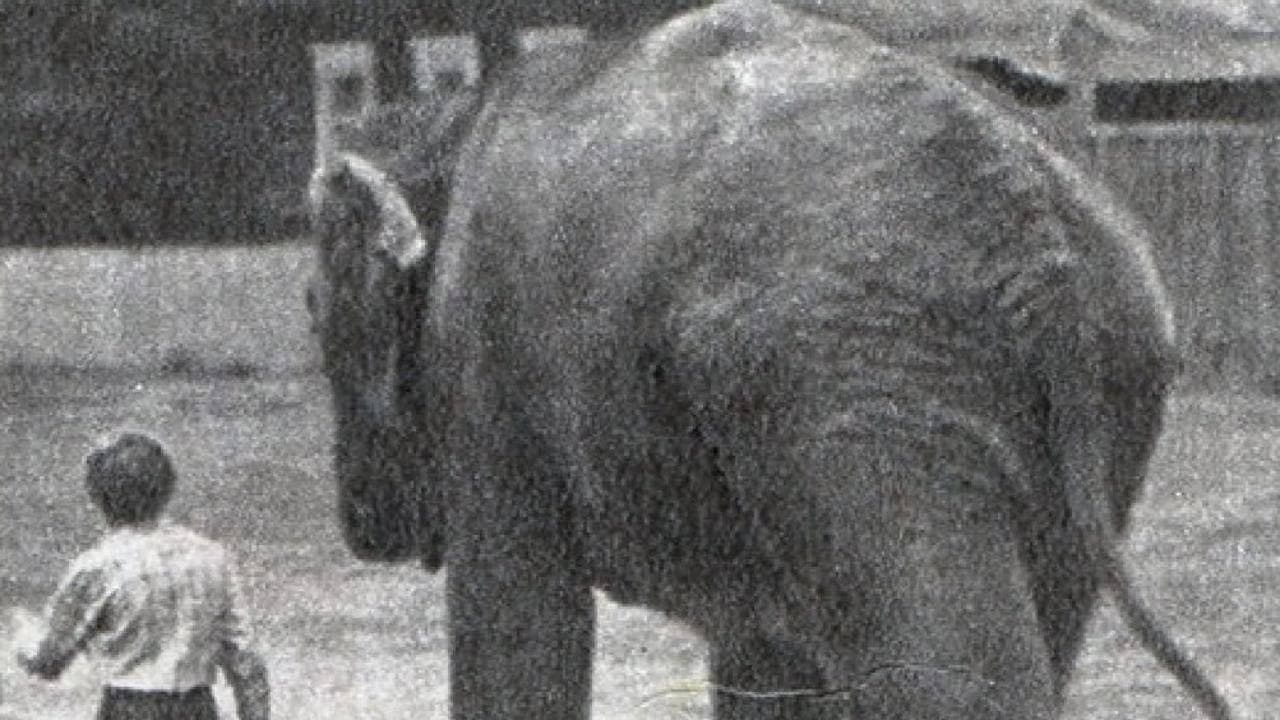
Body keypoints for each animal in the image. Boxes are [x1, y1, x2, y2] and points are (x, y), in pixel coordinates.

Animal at [305, 2, 1237, 718]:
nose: (360, 525)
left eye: (314, 316)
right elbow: (767, 656)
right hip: (1102, 369)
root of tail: (1033, 226)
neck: (445, 124)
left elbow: (519, 621)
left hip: (855, 373)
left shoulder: (485, 367)